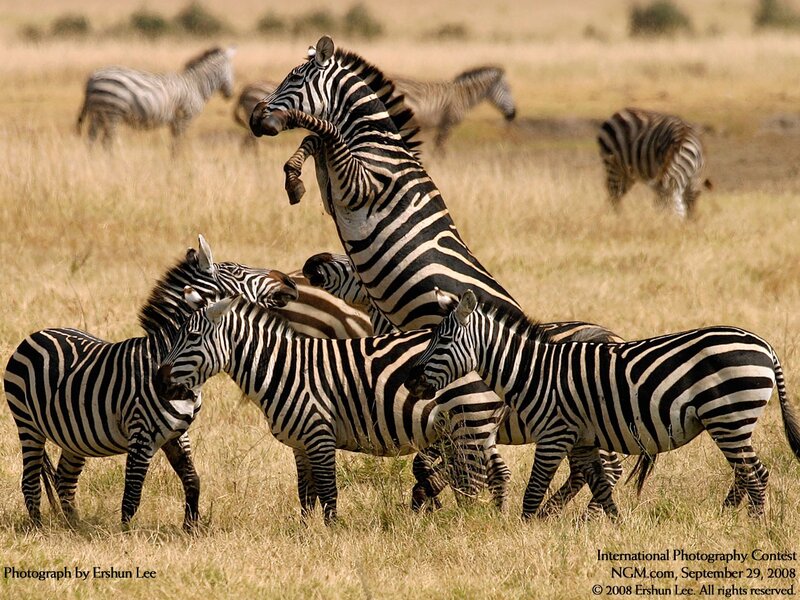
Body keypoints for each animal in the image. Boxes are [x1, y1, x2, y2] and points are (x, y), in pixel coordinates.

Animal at [2, 235, 296, 530]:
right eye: (237, 270)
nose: (290, 282)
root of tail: (36, 334)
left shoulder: (178, 434)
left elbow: (192, 480)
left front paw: (190, 529)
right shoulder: (141, 433)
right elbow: (132, 495)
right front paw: (125, 534)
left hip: (73, 435)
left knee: (64, 479)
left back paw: (76, 528)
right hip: (28, 425)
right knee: (30, 482)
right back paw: (39, 528)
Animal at [76, 46, 236, 150]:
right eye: (231, 71)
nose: (231, 94)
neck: (195, 85)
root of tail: (93, 77)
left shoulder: (175, 121)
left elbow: (173, 143)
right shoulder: (184, 118)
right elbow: (177, 144)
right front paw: (176, 166)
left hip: (98, 113)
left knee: (91, 139)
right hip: (112, 112)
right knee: (107, 141)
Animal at [155, 295, 524, 523]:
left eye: (191, 337)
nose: (159, 381)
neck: (283, 368)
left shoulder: (319, 434)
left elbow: (328, 491)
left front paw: (332, 533)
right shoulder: (300, 443)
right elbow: (306, 494)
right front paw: (305, 534)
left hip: (469, 421)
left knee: (474, 480)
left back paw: (469, 522)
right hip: (474, 426)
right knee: (497, 473)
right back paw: (495, 519)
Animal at [405, 289, 800, 520]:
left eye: (442, 341)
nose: (410, 380)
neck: (533, 371)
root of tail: (764, 345)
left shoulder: (554, 434)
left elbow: (533, 492)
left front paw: (524, 531)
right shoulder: (582, 440)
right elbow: (601, 487)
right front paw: (613, 527)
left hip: (728, 416)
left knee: (756, 474)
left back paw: (754, 525)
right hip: (729, 421)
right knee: (745, 473)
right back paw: (732, 518)